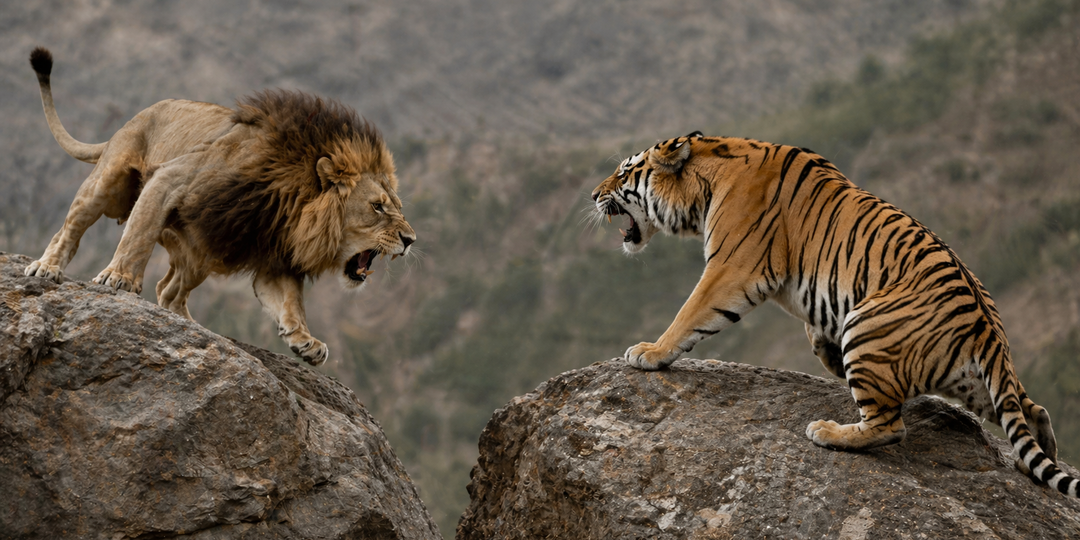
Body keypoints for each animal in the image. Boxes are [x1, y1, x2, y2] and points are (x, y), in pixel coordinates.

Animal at [23, 47, 416, 366]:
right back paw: (46, 267)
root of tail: (134, 117)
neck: (290, 198)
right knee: (71, 229)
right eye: (378, 207)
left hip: (201, 252)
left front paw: (305, 341)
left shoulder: (273, 251)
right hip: (108, 183)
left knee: (169, 289)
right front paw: (119, 278)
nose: (411, 240)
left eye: (396, 206)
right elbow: (138, 238)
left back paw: (189, 325)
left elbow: (290, 301)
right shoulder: (171, 178)